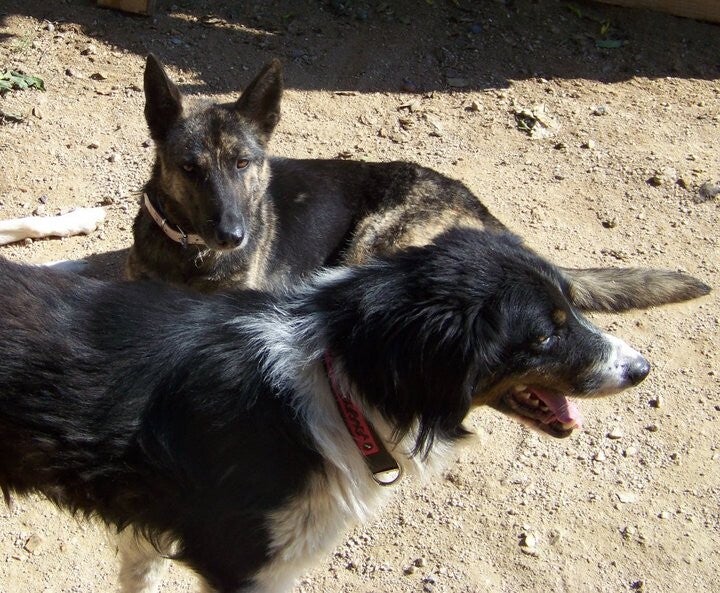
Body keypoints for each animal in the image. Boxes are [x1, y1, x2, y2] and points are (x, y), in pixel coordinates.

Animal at [0, 226, 709, 592]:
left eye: (573, 305)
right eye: (543, 336)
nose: (640, 370)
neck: (335, 381)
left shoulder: (152, 524)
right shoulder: (241, 565)